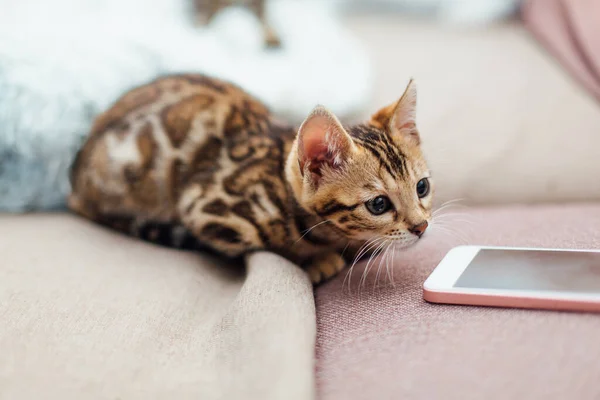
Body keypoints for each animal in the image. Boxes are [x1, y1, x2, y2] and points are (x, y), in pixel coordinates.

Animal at [70, 73, 434, 282]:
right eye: (378, 204)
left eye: (422, 187)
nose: (421, 227)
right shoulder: (207, 208)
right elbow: (272, 249)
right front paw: (315, 261)